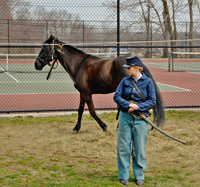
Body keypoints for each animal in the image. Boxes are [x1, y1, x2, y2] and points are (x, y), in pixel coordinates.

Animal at [35, 35, 165, 133]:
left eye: (44, 49)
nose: (36, 64)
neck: (79, 64)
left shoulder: (87, 93)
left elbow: (92, 111)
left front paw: (104, 126)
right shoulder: (83, 93)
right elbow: (80, 110)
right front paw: (76, 128)